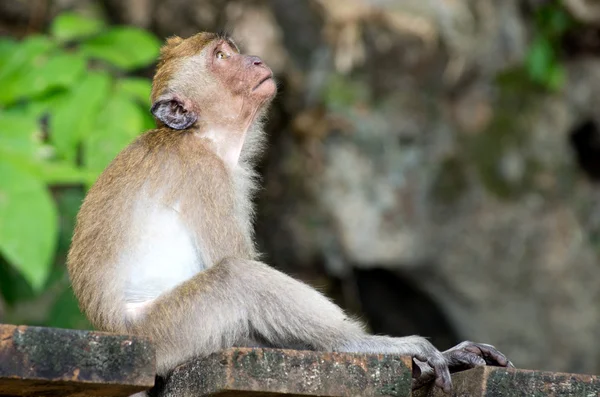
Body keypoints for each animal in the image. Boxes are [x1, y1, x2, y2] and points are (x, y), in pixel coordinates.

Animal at [68, 32, 512, 392]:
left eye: (232, 51)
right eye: (221, 57)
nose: (255, 59)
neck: (203, 136)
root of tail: (113, 329)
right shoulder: (205, 175)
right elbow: (237, 265)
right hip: (168, 332)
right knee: (237, 276)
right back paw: (356, 344)